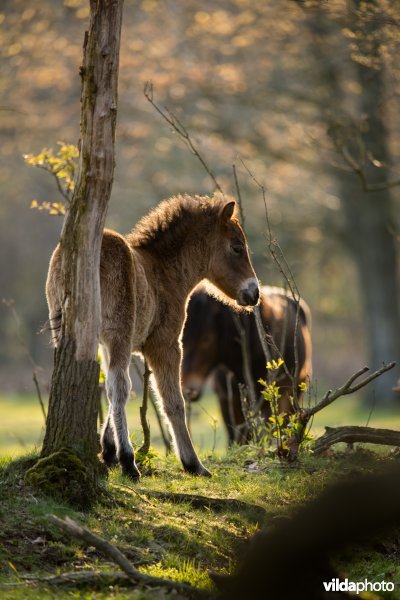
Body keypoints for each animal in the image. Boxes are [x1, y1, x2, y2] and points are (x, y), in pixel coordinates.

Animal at [46, 195, 260, 480]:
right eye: (237, 248)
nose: (254, 293)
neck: (164, 272)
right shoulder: (165, 345)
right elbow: (172, 401)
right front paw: (193, 463)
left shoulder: (106, 344)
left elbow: (111, 390)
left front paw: (108, 449)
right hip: (120, 332)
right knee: (120, 386)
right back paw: (129, 461)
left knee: (105, 383)